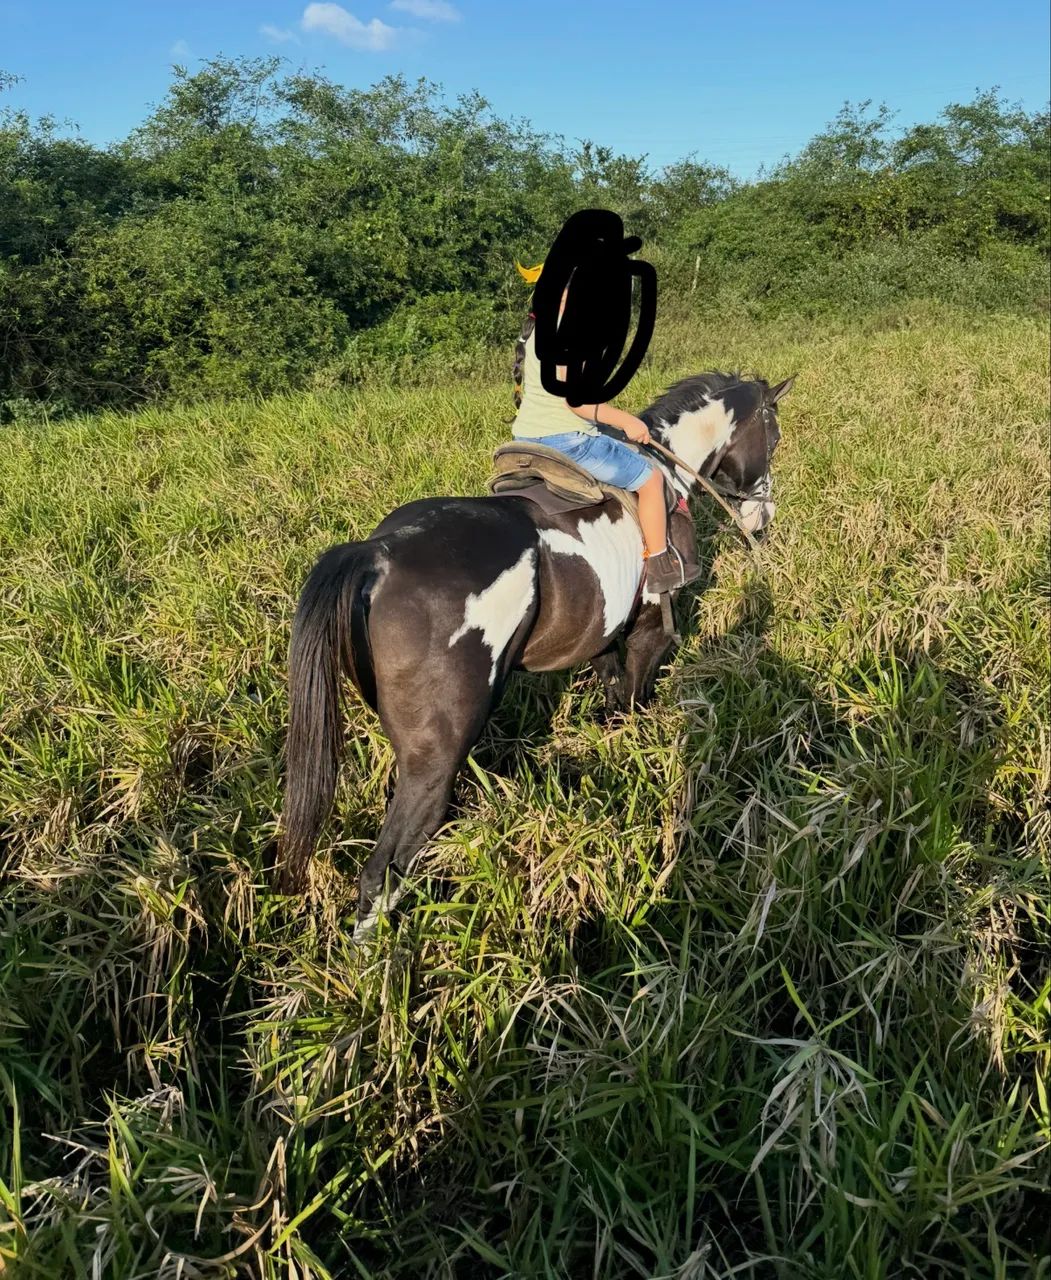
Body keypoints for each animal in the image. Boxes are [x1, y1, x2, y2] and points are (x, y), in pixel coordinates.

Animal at [276, 370, 794, 929]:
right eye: (774, 436)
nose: (763, 517)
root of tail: (377, 554)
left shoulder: (602, 631)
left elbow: (612, 696)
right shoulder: (651, 630)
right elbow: (634, 701)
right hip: (434, 758)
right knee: (383, 871)